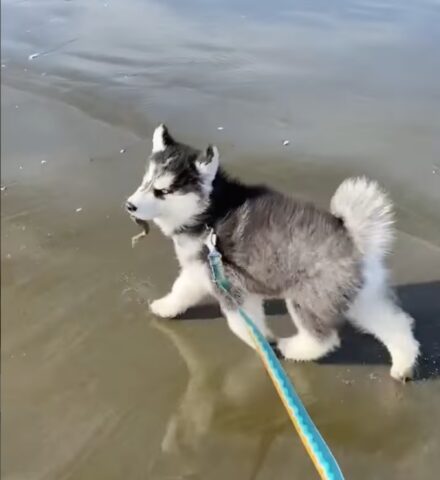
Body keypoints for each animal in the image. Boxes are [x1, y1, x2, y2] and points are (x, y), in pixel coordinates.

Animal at [126, 125, 420, 380]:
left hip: (307, 297)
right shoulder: (201, 271)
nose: (129, 206)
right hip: (358, 298)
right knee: (397, 325)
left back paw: (294, 349)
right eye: (144, 182)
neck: (209, 214)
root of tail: (354, 236)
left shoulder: (230, 284)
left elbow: (242, 324)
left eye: (162, 191)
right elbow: (181, 290)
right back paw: (403, 365)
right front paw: (166, 307)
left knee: (323, 339)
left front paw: (262, 341)